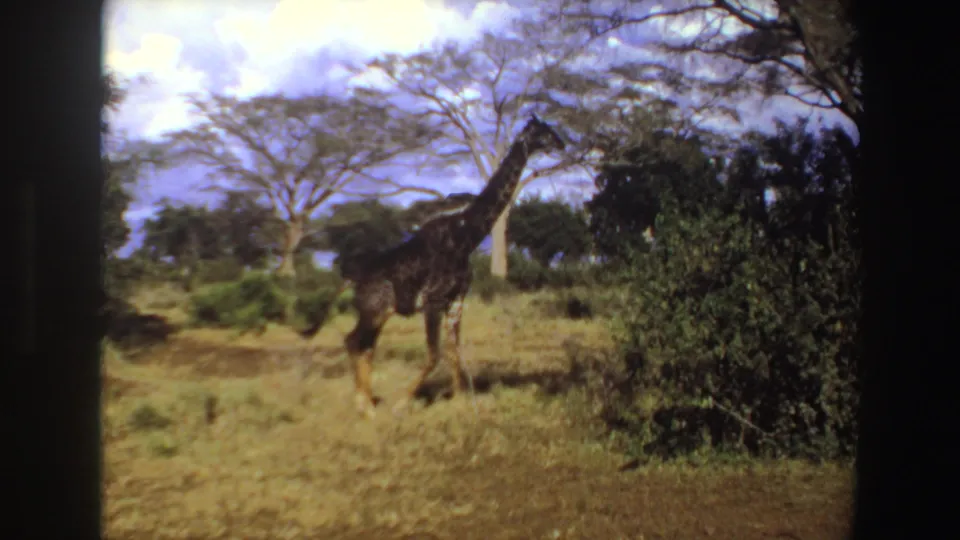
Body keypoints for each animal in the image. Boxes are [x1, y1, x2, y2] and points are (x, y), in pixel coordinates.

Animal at [318, 114, 566, 418]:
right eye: (543, 132)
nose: (562, 143)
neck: (467, 235)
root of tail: (352, 277)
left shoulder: (456, 299)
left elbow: (453, 351)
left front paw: (459, 401)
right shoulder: (433, 301)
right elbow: (434, 354)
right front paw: (402, 403)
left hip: (380, 311)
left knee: (362, 345)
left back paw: (366, 403)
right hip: (373, 309)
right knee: (355, 342)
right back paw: (365, 407)